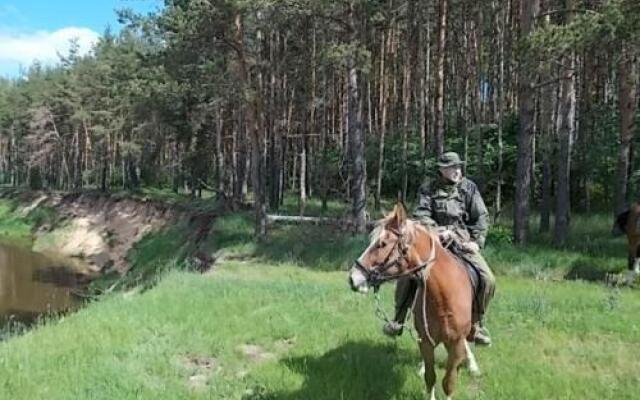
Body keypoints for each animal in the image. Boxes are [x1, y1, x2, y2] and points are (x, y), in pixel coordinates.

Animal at [348, 203, 478, 400]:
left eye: (382, 244)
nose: (353, 278)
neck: (443, 298)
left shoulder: (455, 345)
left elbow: (448, 383)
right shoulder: (425, 341)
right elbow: (430, 377)